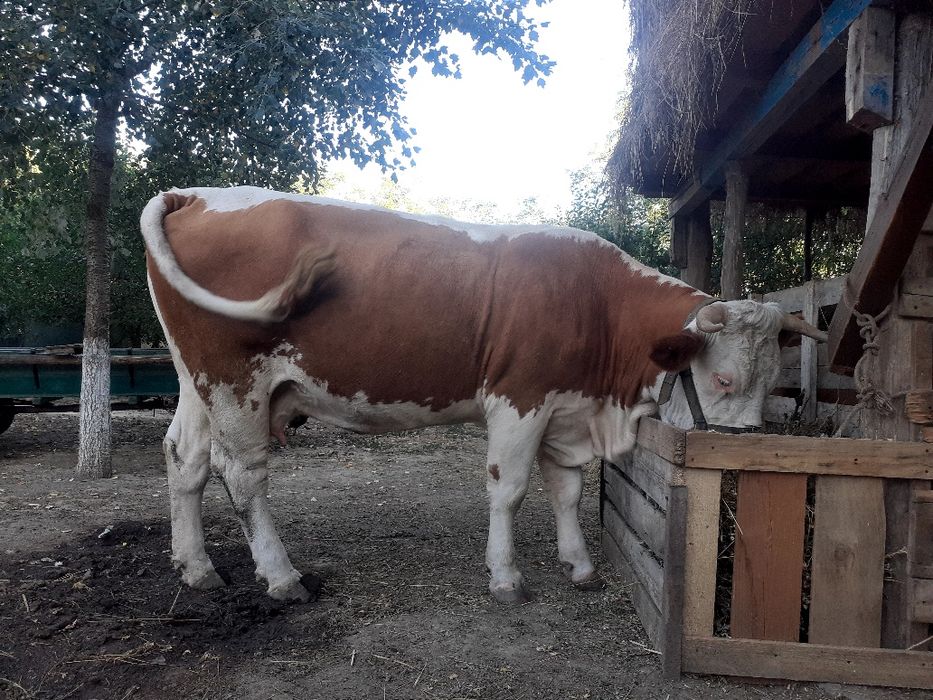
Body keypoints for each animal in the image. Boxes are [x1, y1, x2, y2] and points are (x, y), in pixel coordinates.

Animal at [141, 186, 825, 604]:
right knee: (242, 473)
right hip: (235, 383)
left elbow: (567, 490)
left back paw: (196, 566)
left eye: (772, 380)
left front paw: (579, 565)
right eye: (723, 380)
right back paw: (281, 578)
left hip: (197, 383)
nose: (742, 461)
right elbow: (511, 488)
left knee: (185, 458)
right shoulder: (519, 399)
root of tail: (198, 196)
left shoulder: (565, 408)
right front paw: (506, 576)